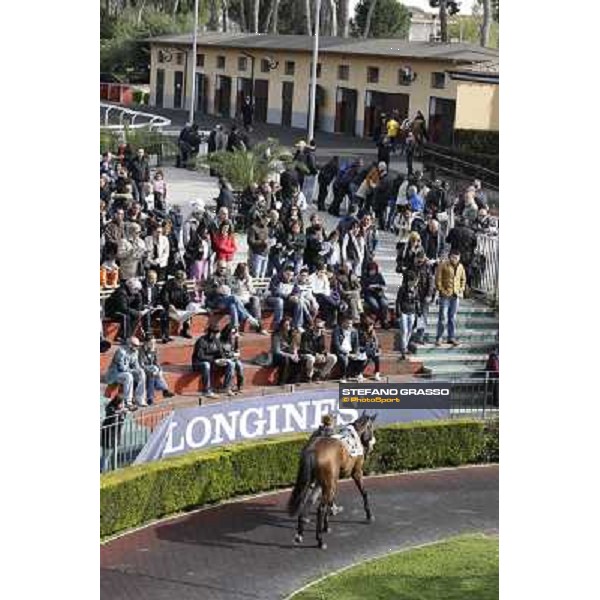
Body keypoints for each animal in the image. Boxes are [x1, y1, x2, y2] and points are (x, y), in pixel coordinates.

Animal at [286, 412, 376, 548]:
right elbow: (364, 492)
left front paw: (326, 525)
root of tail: (313, 449)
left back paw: (300, 534)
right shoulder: (356, 472)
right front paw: (369, 515)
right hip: (326, 483)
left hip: (313, 482)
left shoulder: (331, 480)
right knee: (320, 508)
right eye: (371, 428)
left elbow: (330, 500)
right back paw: (320, 540)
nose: (372, 446)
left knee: (306, 501)